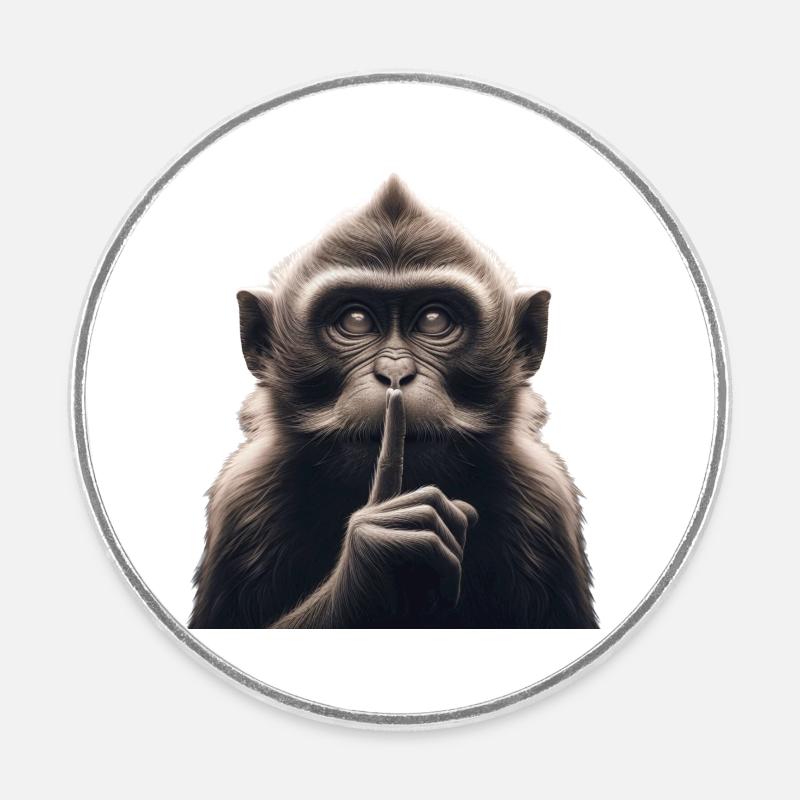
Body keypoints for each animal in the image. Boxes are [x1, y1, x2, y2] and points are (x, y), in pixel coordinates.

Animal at [189, 176, 597, 629]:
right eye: (355, 320)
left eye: (435, 320)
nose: (395, 372)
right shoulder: (243, 497)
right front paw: (379, 552)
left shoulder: (544, 500)